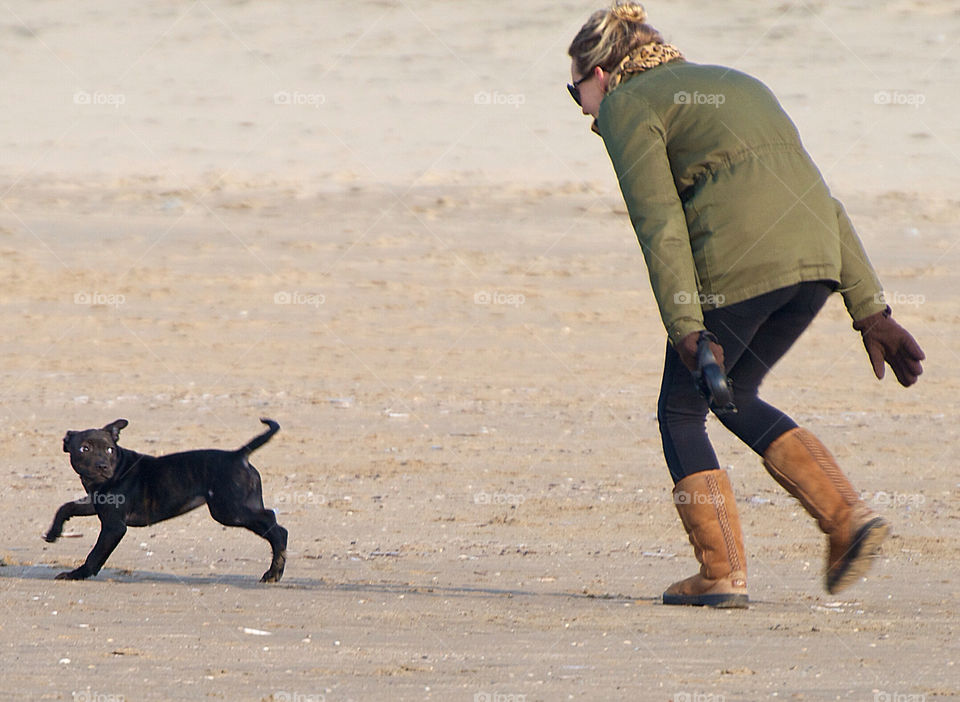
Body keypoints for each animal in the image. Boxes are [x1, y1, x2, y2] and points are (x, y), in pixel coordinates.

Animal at [46, 418, 284, 584]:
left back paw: (274, 571)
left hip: (230, 511)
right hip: (236, 508)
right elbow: (66, 507)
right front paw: (53, 532)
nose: (103, 466)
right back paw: (276, 570)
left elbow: (95, 554)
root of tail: (238, 455)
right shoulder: (95, 504)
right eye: (84, 448)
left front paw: (77, 574)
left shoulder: (114, 526)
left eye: (109, 449)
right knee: (273, 525)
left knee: (275, 525)